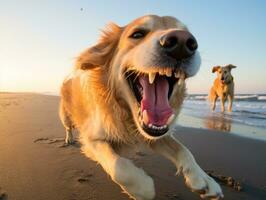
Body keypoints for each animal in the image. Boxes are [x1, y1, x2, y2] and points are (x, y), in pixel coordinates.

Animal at [59, 14, 222, 199]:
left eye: (189, 35)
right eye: (137, 34)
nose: (182, 42)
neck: (127, 115)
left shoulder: (158, 135)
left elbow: (184, 150)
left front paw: (203, 179)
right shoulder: (92, 139)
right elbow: (119, 167)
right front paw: (142, 188)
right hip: (65, 116)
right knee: (68, 127)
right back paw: (68, 138)